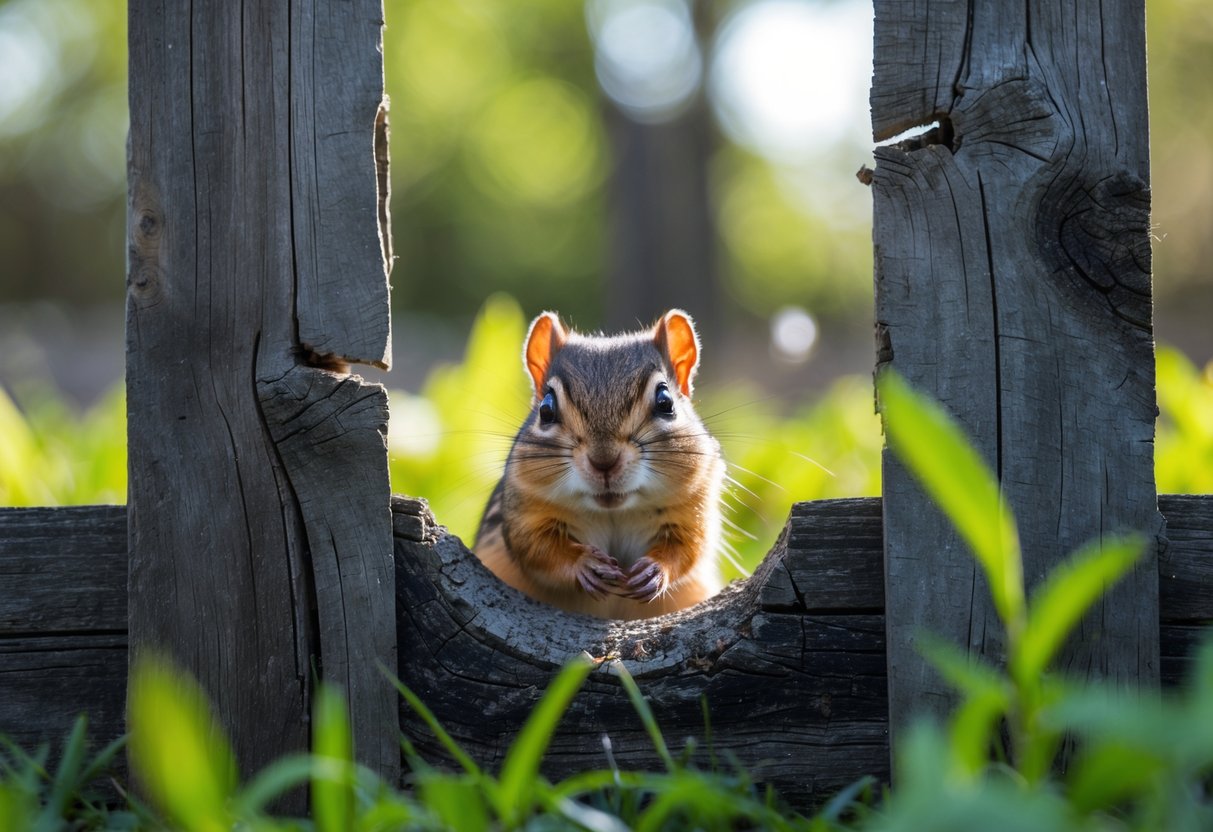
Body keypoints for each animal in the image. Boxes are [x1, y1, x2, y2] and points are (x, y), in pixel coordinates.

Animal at [473, 309, 725, 620]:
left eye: (665, 402)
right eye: (546, 410)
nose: (604, 461)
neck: (613, 511)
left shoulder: (694, 503)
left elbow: (690, 547)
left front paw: (654, 571)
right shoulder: (523, 507)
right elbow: (535, 548)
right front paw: (585, 564)